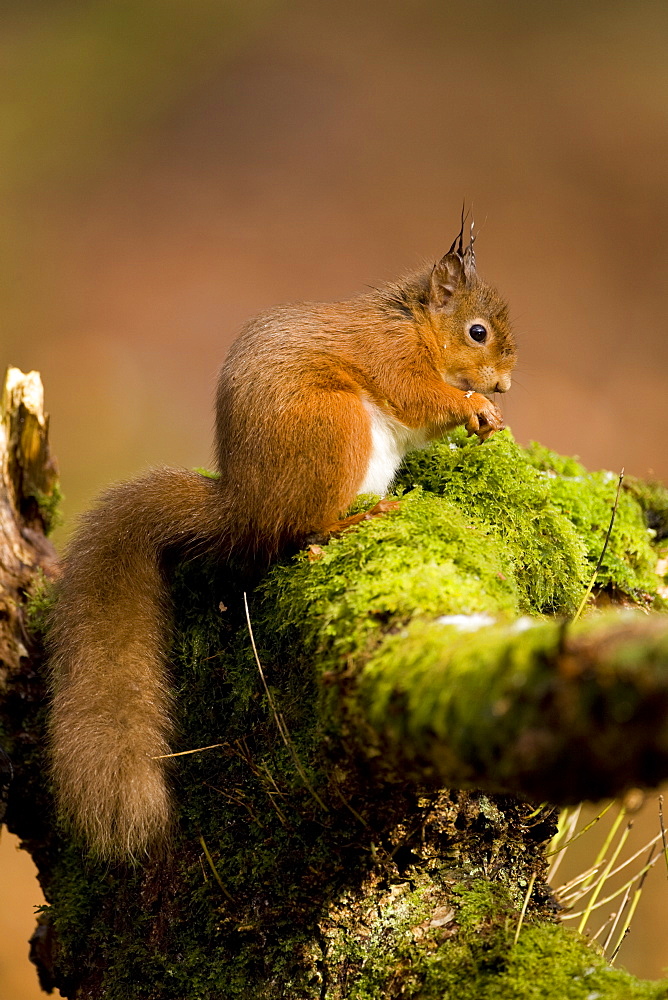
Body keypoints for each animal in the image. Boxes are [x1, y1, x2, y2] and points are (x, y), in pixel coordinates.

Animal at [48, 229, 516, 860]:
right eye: (477, 332)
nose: (505, 382)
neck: (413, 323)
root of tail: (245, 507)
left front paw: (490, 416)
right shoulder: (392, 358)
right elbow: (418, 396)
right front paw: (474, 406)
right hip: (334, 427)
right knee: (305, 529)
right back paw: (356, 520)